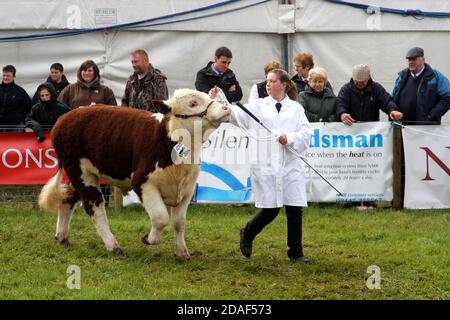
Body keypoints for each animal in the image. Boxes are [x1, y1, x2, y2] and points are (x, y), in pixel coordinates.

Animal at [38, 88, 230, 260]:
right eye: (193, 103)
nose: (225, 108)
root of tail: (63, 118)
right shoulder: (142, 182)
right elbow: (160, 218)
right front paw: (148, 239)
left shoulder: (187, 189)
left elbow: (179, 222)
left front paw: (182, 252)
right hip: (81, 174)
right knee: (96, 209)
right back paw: (113, 246)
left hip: (81, 175)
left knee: (67, 198)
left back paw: (62, 236)